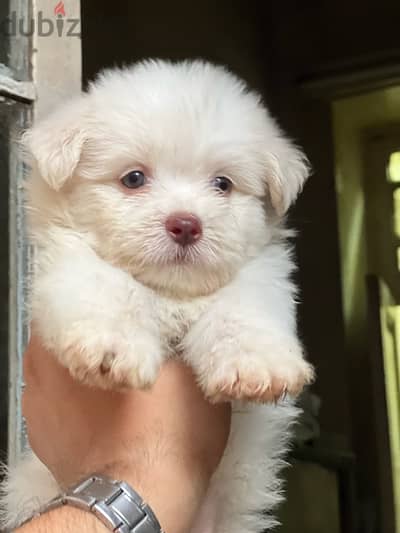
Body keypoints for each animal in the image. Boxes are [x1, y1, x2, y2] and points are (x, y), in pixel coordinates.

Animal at [0, 60, 312, 528]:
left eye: (223, 184)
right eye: (134, 178)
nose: (186, 224)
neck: (170, 294)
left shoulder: (261, 275)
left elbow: (242, 312)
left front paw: (256, 365)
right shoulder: (71, 264)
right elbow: (107, 288)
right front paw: (112, 347)